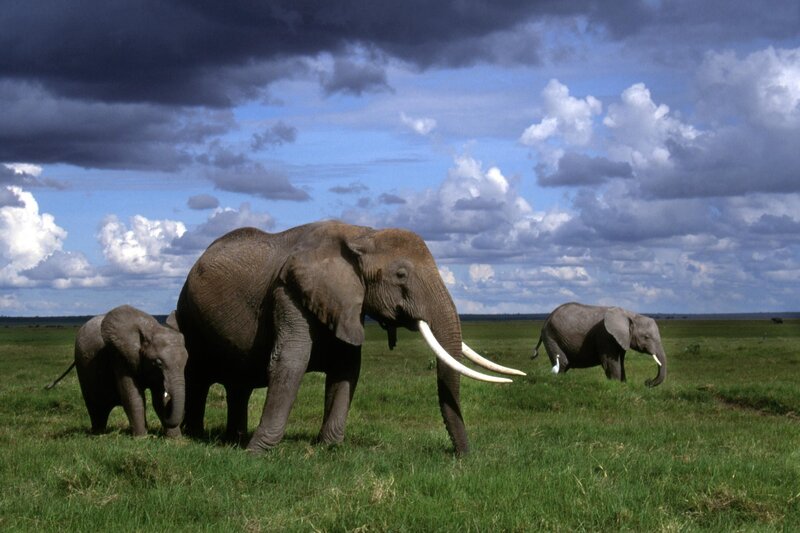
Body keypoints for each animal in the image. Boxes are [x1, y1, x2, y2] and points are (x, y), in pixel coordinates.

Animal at [46, 305, 188, 436]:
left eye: (186, 361)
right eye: (158, 363)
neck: (151, 328)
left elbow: (159, 399)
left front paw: (175, 439)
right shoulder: (120, 356)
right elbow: (132, 397)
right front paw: (141, 438)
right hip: (83, 364)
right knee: (96, 405)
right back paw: (98, 433)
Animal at [175, 220, 524, 455]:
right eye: (400, 275)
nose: (463, 456)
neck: (362, 234)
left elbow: (346, 368)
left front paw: (329, 448)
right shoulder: (289, 291)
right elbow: (290, 361)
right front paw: (257, 452)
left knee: (238, 385)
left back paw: (231, 437)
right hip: (187, 315)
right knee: (197, 376)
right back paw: (194, 436)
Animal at [532, 302, 667, 387]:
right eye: (646, 337)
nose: (647, 382)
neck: (630, 314)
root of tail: (546, 319)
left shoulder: (621, 338)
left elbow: (620, 361)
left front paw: (623, 384)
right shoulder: (605, 335)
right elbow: (610, 362)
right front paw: (616, 385)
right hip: (551, 336)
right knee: (563, 362)